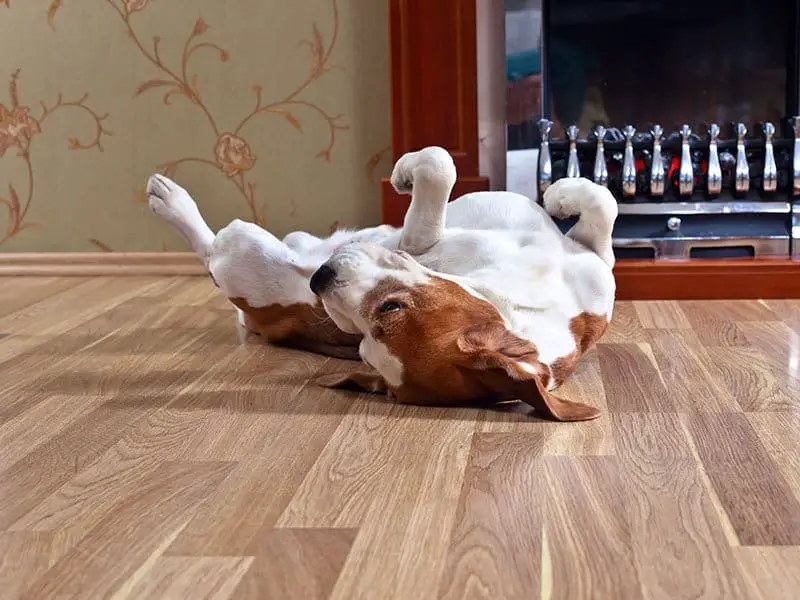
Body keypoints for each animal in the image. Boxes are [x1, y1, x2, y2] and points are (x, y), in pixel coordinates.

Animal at [147, 145, 616, 420]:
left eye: (389, 309)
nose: (321, 278)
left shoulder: (417, 241)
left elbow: (438, 171)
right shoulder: (594, 262)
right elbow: (604, 206)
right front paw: (562, 192)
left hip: (244, 248)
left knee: (212, 248)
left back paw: (170, 199)